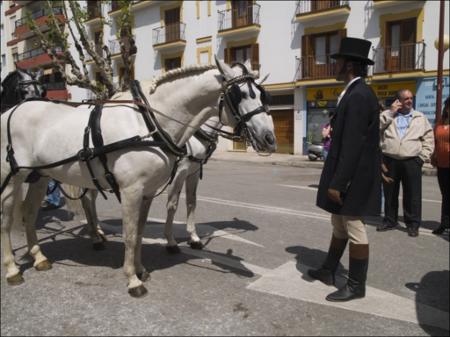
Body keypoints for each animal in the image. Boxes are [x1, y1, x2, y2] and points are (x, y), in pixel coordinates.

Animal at [0, 58, 274, 296]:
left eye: (261, 94)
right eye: (239, 94)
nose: (270, 138)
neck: (148, 123)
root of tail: (10, 111)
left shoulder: (149, 191)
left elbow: (142, 231)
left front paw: (141, 269)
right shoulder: (133, 190)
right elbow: (132, 233)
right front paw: (133, 279)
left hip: (41, 176)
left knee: (30, 213)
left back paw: (40, 257)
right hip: (13, 177)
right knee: (7, 219)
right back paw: (13, 269)